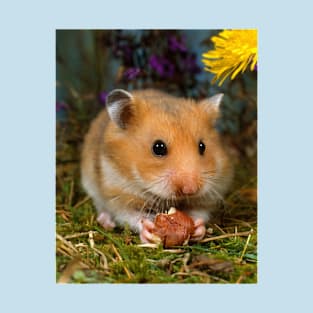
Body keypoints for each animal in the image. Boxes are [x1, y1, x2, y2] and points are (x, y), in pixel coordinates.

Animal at [80, 89, 232, 243]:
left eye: (202, 146)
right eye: (158, 147)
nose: (190, 189)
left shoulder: (209, 196)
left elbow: (200, 212)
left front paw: (197, 229)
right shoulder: (117, 195)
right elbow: (131, 215)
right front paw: (148, 230)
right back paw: (106, 222)